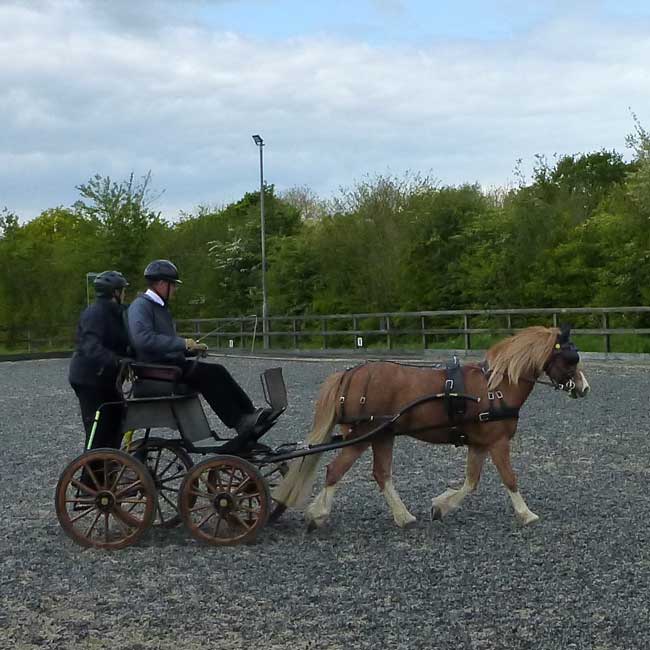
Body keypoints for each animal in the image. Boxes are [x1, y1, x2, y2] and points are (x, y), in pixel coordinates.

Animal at [272, 322, 588, 528]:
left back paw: (403, 517)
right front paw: (526, 514)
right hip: (364, 436)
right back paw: (318, 514)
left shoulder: (479, 444)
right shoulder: (497, 442)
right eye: (571, 359)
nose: (584, 389)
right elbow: (509, 478)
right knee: (335, 470)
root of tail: (351, 374)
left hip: (383, 436)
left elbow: (471, 482)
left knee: (381, 475)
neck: (496, 389)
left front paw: (441, 506)